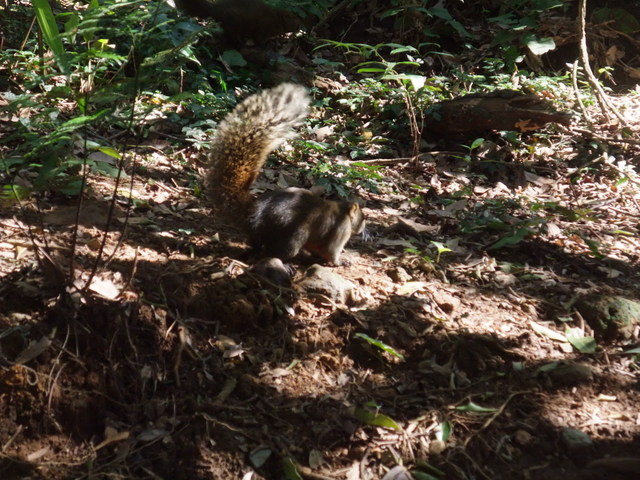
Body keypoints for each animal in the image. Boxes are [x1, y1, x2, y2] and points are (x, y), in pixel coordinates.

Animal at [205, 84, 364, 264]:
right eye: (362, 216)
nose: (364, 227)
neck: (342, 211)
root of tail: (252, 215)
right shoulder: (339, 231)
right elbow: (331, 251)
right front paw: (341, 262)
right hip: (293, 236)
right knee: (272, 252)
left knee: (256, 245)